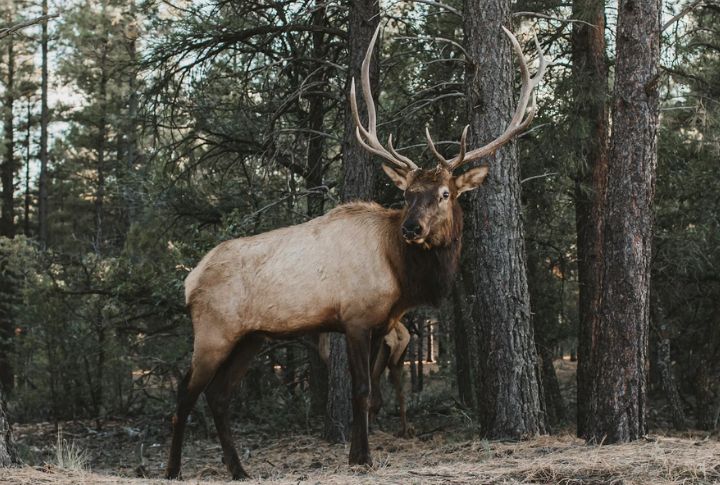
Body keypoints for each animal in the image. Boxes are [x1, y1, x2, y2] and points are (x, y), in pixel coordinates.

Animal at [165, 25, 546, 480]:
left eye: (444, 193)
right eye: (407, 193)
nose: (412, 228)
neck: (402, 277)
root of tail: (189, 280)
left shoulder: (382, 324)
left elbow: (371, 391)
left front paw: (355, 454)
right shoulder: (356, 318)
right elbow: (362, 390)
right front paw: (362, 458)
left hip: (251, 337)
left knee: (219, 396)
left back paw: (239, 470)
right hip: (213, 330)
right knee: (185, 395)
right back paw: (173, 469)